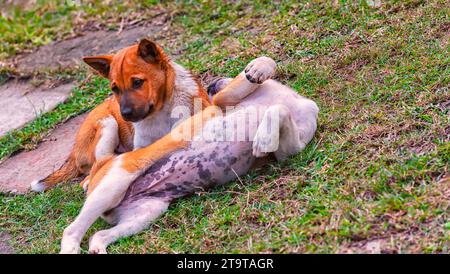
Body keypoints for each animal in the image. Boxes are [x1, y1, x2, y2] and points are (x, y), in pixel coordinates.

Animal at [29, 39, 209, 193]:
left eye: (137, 82)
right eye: (115, 89)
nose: (125, 114)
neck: (160, 111)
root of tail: (73, 152)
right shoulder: (141, 146)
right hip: (107, 124)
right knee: (98, 166)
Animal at [59, 56, 318, 255]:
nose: (211, 83)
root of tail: (105, 162)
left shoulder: (288, 150)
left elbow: (280, 111)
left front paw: (264, 135)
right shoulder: (223, 101)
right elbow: (270, 102)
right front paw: (258, 71)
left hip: (145, 213)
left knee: (99, 235)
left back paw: (98, 248)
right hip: (114, 183)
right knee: (71, 230)